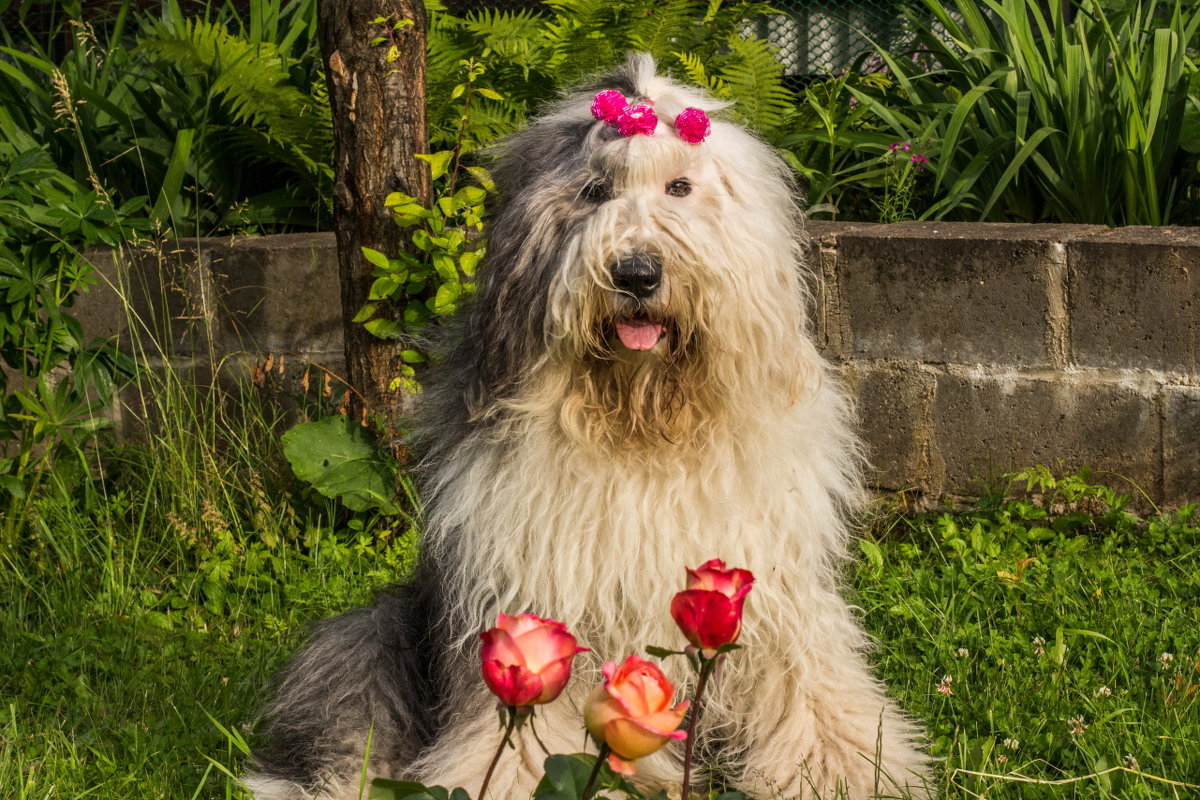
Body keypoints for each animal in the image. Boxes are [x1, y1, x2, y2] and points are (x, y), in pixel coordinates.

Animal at [243, 54, 931, 800]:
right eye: (595, 192)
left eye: (680, 187)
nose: (636, 273)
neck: (642, 425)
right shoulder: (531, 593)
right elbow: (525, 728)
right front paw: (513, 779)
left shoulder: (773, 585)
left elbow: (806, 679)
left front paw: (844, 766)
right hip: (374, 638)